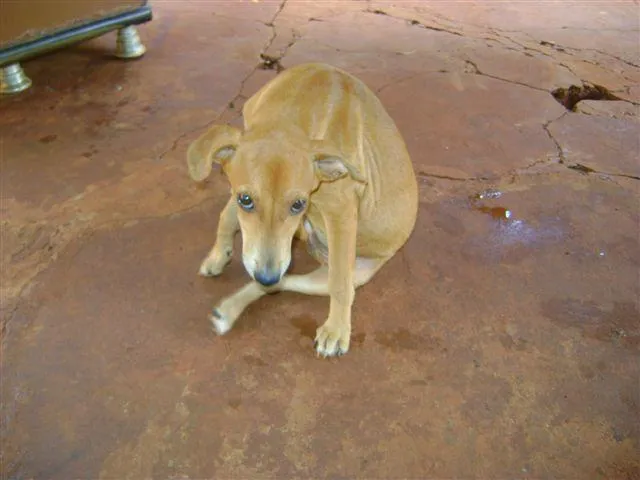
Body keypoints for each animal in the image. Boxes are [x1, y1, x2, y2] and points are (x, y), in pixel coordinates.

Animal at [188, 62, 418, 356]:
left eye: (298, 204)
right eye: (246, 199)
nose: (266, 275)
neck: (294, 110)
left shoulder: (340, 211)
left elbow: (339, 284)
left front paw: (337, 331)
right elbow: (227, 215)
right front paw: (219, 254)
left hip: (354, 273)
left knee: (301, 282)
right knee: (280, 283)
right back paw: (229, 309)